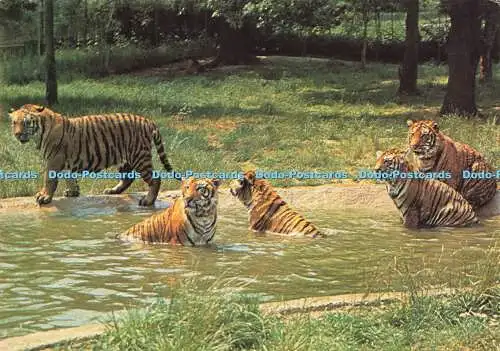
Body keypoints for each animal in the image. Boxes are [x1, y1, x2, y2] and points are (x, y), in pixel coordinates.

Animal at [6, 104, 172, 208]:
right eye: (14, 123)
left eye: (26, 123)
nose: (17, 134)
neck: (39, 132)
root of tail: (148, 120)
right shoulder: (64, 161)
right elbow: (69, 177)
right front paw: (73, 192)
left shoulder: (54, 159)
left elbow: (49, 179)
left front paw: (44, 196)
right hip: (124, 158)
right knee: (127, 178)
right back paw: (113, 191)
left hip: (139, 156)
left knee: (155, 179)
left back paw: (148, 201)